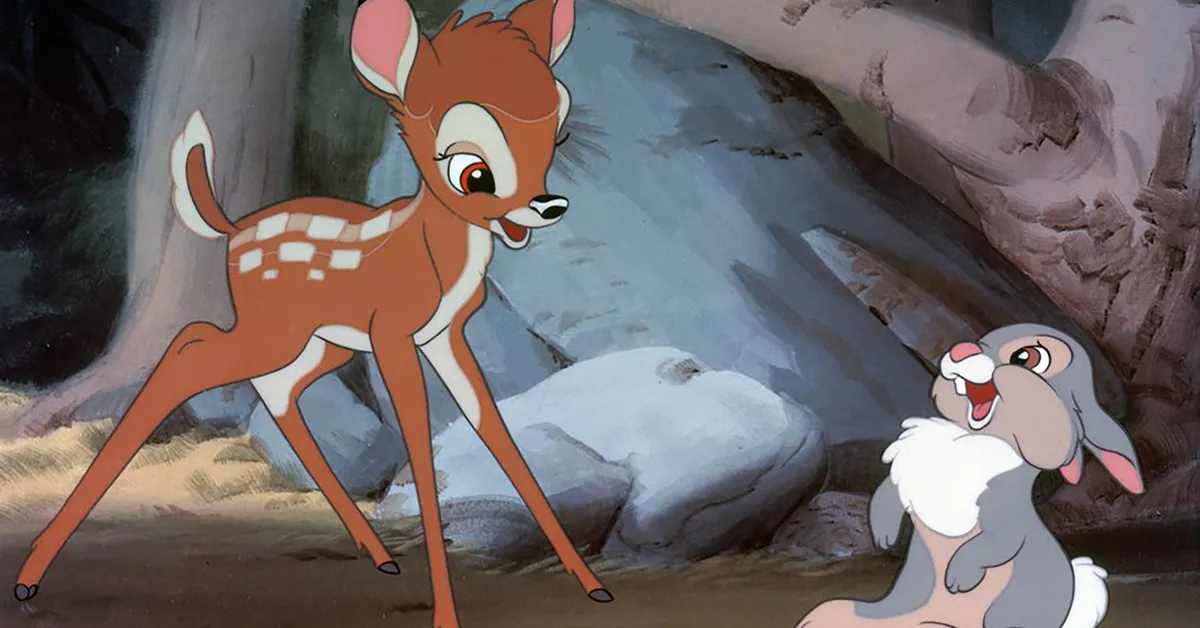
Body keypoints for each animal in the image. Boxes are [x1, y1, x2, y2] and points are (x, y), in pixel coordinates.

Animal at [13, 0, 613, 625]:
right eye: (471, 169)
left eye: (558, 131)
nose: (546, 206)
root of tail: (232, 229)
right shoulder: (392, 332)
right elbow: (421, 440)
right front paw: (448, 611)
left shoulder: (445, 334)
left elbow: (495, 429)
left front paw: (593, 585)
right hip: (277, 332)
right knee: (191, 346)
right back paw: (31, 576)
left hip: (319, 342)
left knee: (274, 391)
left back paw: (381, 556)